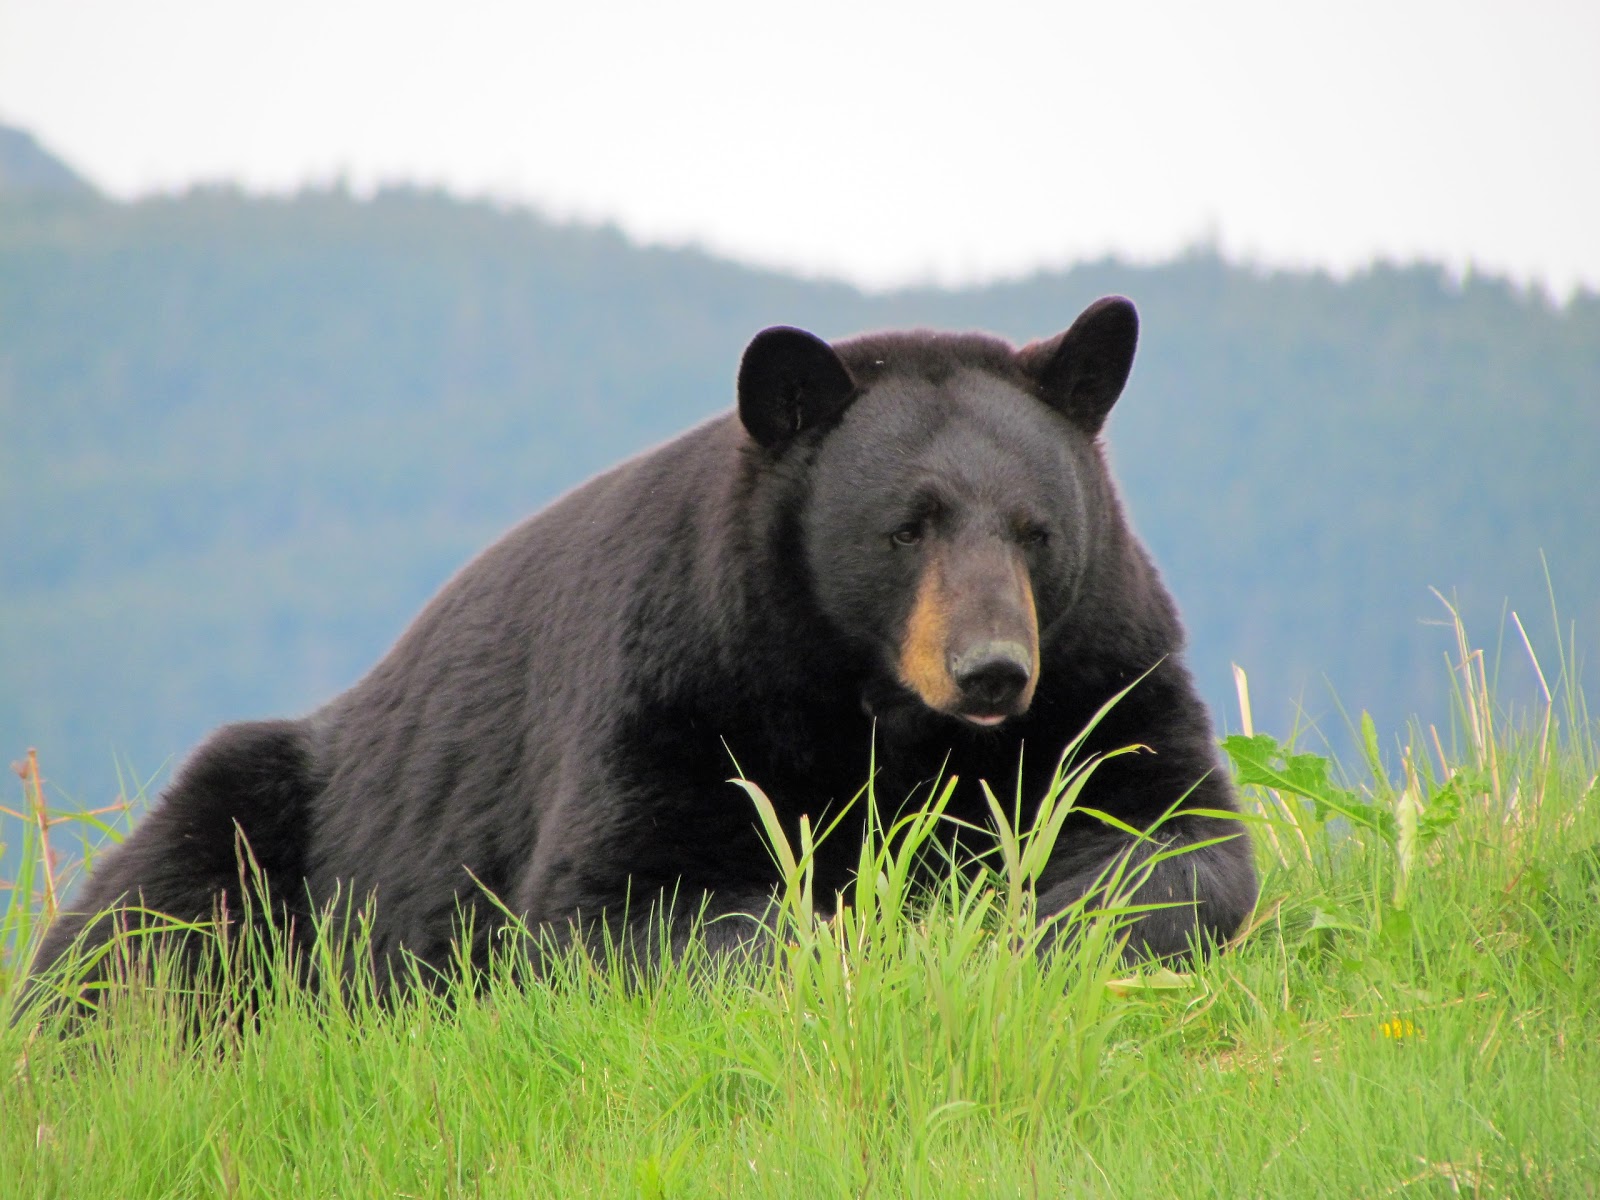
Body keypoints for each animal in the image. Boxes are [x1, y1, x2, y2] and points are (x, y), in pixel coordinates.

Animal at [25, 296, 1254, 998]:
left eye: (1036, 532)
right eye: (907, 527)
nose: (991, 671)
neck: (877, 706)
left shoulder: (1103, 668)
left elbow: (1170, 833)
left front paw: (1033, 925)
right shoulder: (681, 686)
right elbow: (622, 905)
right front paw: (858, 943)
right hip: (264, 813)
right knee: (143, 931)